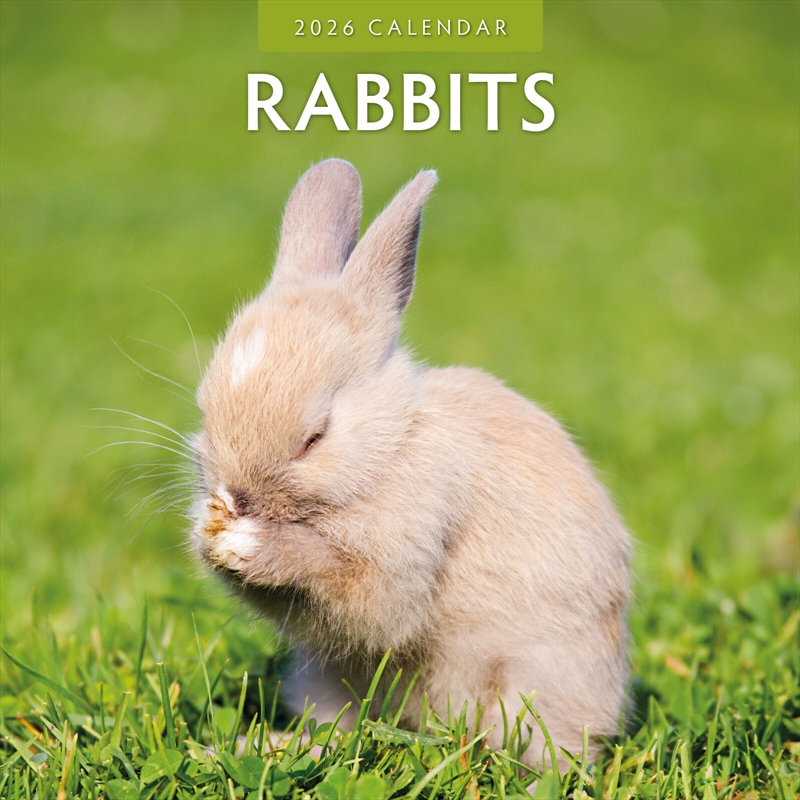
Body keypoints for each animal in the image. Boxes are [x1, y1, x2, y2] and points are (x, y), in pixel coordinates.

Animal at [190, 158, 632, 769]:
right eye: (203, 409)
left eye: (315, 437)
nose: (237, 497)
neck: (391, 445)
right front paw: (209, 534)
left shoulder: (410, 543)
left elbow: (366, 597)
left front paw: (251, 544)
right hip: (325, 679)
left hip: (538, 684)